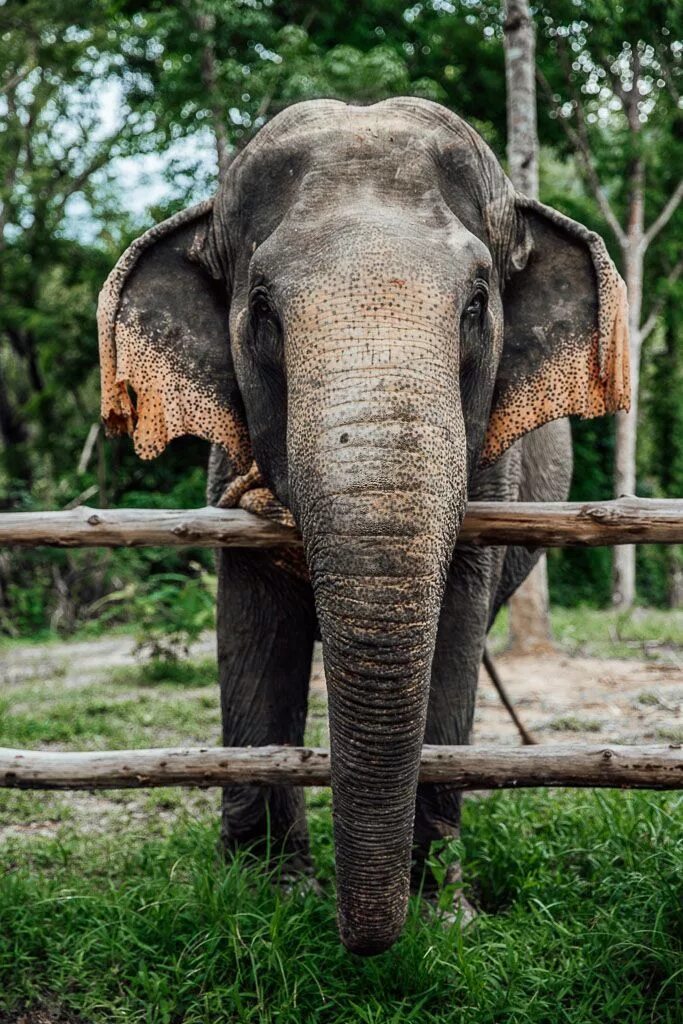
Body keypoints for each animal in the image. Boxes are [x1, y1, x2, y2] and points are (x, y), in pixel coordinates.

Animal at [97, 99, 630, 954]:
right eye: (262, 311)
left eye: (476, 305)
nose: (363, 943)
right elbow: (252, 628)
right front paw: (267, 895)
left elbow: (452, 630)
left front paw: (441, 913)